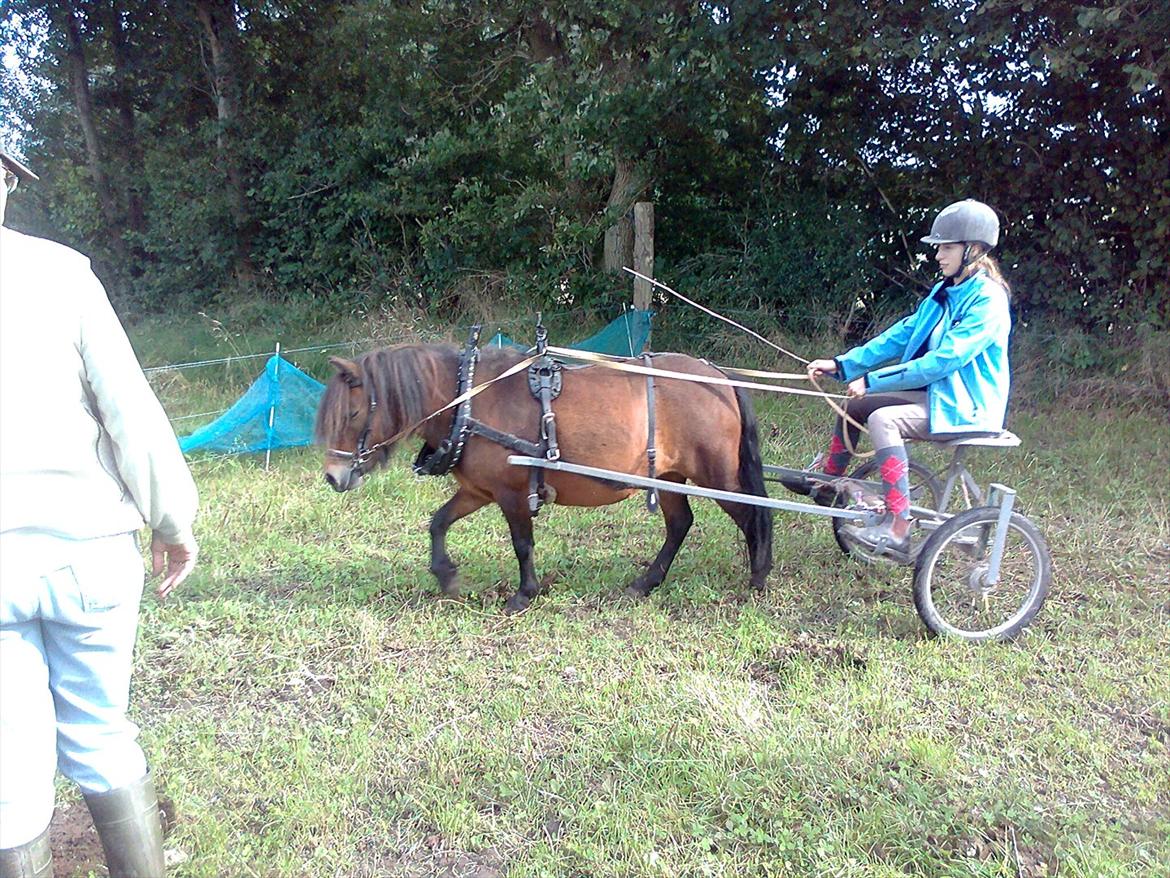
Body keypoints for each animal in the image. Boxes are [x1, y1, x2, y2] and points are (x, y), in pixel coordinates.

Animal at [320, 344, 772, 613]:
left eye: (353, 413)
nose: (333, 477)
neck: (468, 401)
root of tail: (718, 377)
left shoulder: (512, 492)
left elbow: (522, 543)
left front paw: (524, 594)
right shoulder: (478, 490)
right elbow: (439, 522)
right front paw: (446, 574)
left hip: (714, 474)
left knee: (753, 514)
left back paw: (759, 575)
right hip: (669, 474)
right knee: (680, 524)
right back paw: (645, 583)